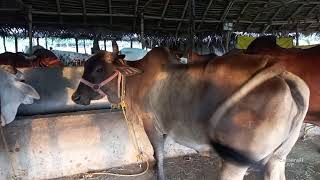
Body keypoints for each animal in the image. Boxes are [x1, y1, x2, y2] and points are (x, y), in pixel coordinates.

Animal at [73, 47, 310, 180]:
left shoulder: (151, 122)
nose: (75, 96)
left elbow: (158, 152)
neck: (136, 79)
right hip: (277, 158)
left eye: (99, 69)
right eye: (86, 66)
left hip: (236, 162)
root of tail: (282, 74)